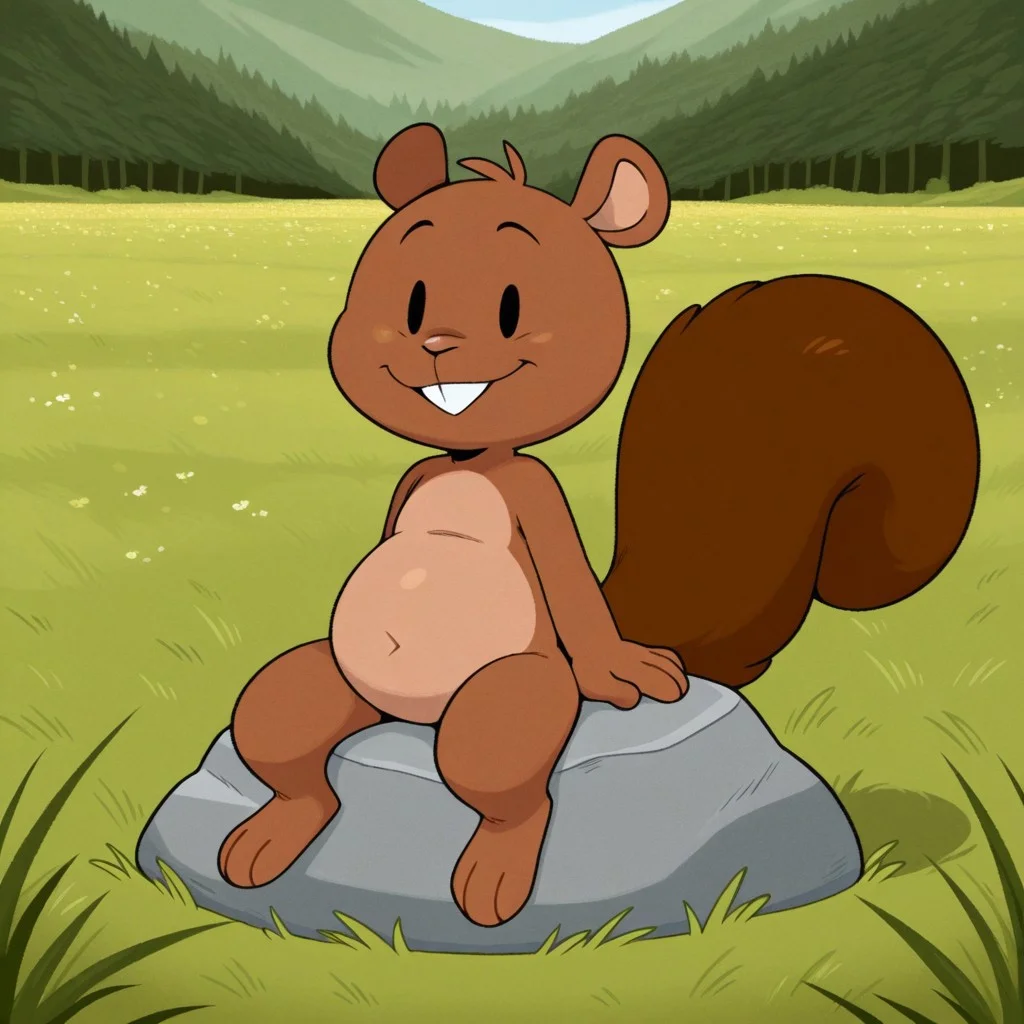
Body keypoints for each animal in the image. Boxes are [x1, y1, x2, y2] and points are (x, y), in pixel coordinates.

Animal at [216, 123, 980, 929]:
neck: (469, 459)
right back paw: (265, 839)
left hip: (510, 697)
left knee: (499, 779)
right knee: (284, 737)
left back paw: (493, 878)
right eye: (413, 301)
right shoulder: (411, 482)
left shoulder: (538, 498)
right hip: (326, 687)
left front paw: (619, 669)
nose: (436, 343)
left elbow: (571, 588)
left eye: (511, 306)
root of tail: (408, 718)